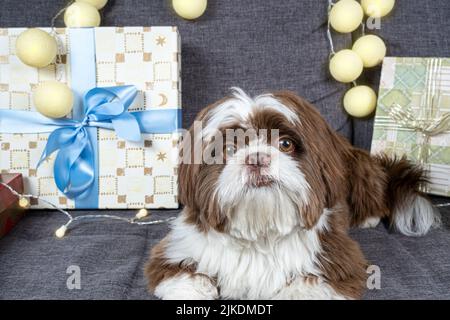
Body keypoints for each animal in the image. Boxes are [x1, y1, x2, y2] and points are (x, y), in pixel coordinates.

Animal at [146, 88, 442, 300]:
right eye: (228, 148)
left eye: (286, 143)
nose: (257, 158)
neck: (261, 232)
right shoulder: (178, 251)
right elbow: (187, 278)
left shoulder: (334, 259)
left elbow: (306, 285)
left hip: (359, 166)